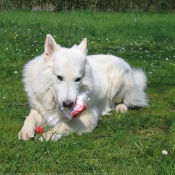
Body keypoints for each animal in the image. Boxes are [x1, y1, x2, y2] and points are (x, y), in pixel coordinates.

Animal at [18, 34, 148, 141]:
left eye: (78, 79)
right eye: (59, 77)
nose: (68, 104)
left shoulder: (89, 118)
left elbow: (64, 125)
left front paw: (48, 135)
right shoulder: (38, 109)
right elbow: (29, 118)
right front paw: (26, 131)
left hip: (117, 80)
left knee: (124, 100)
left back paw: (121, 107)